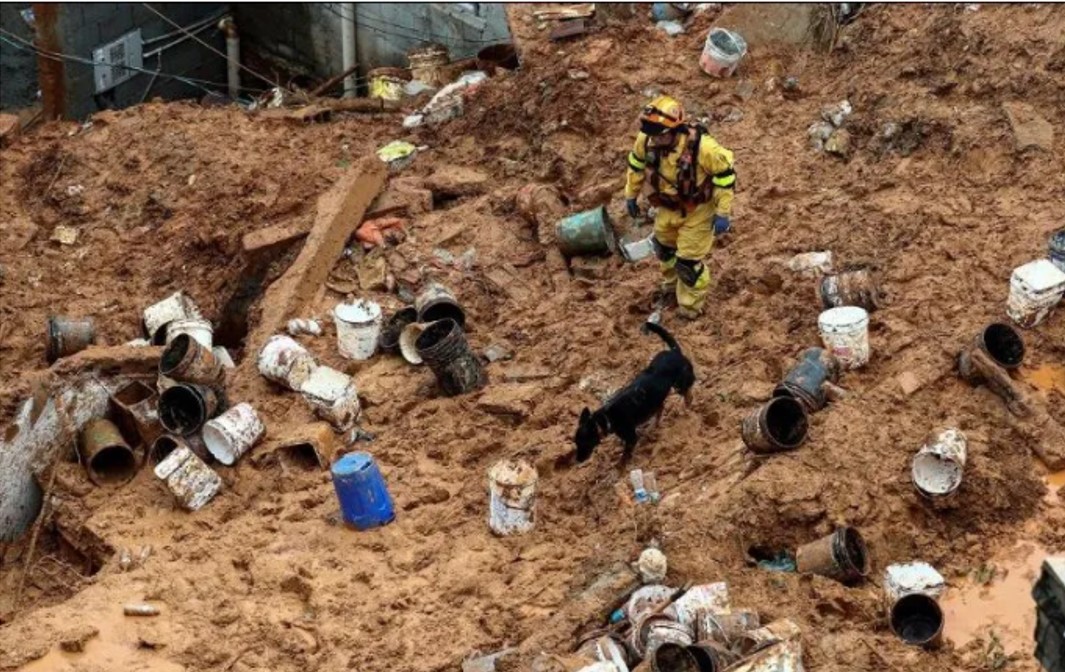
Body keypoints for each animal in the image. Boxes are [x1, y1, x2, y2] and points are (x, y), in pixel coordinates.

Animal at [579, 323, 694, 462]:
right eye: (576, 442)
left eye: (584, 442)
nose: (577, 460)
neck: (606, 417)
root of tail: (674, 351)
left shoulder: (631, 437)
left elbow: (625, 456)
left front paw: (621, 464)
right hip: (657, 398)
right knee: (661, 409)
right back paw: (653, 426)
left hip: (679, 384)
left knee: (688, 393)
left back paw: (687, 405)